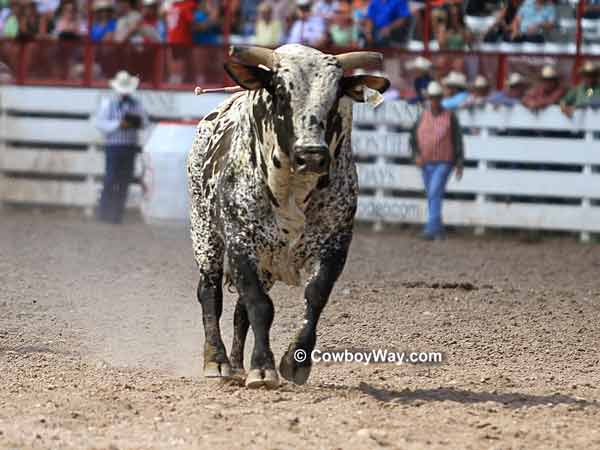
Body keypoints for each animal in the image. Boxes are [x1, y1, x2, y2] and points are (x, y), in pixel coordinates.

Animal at [190, 46, 392, 390]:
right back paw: (217, 361)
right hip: (205, 233)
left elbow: (314, 297)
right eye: (281, 92)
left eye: (335, 95)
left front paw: (295, 361)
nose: (311, 155)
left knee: (240, 311)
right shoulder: (241, 242)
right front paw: (262, 368)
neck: (292, 192)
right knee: (210, 293)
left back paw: (236, 364)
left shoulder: (335, 244)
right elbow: (260, 305)